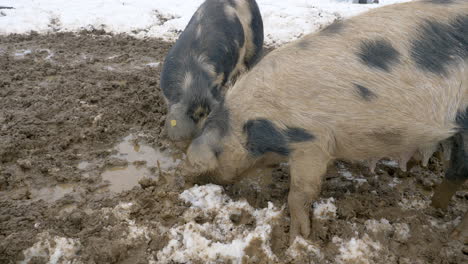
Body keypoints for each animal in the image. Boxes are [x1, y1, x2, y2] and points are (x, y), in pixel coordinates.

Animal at [186, 0, 468, 243]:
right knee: (456, 168)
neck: (250, 125)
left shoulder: (311, 141)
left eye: (215, 156)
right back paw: (432, 203)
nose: (191, 179)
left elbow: (300, 192)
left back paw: (451, 229)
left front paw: (299, 237)